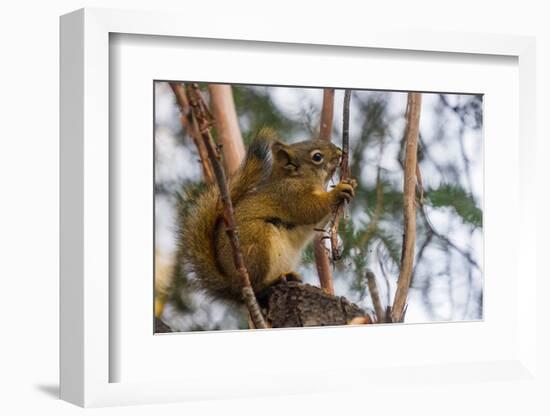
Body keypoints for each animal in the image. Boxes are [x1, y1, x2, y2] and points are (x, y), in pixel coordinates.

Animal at [178, 127, 358, 302]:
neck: (296, 178)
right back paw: (273, 281)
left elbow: (319, 222)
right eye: (317, 157)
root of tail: (233, 285)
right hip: (257, 242)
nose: (339, 152)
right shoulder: (289, 196)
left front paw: (351, 183)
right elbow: (309, 209)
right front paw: (337, 192)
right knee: (258, 286)